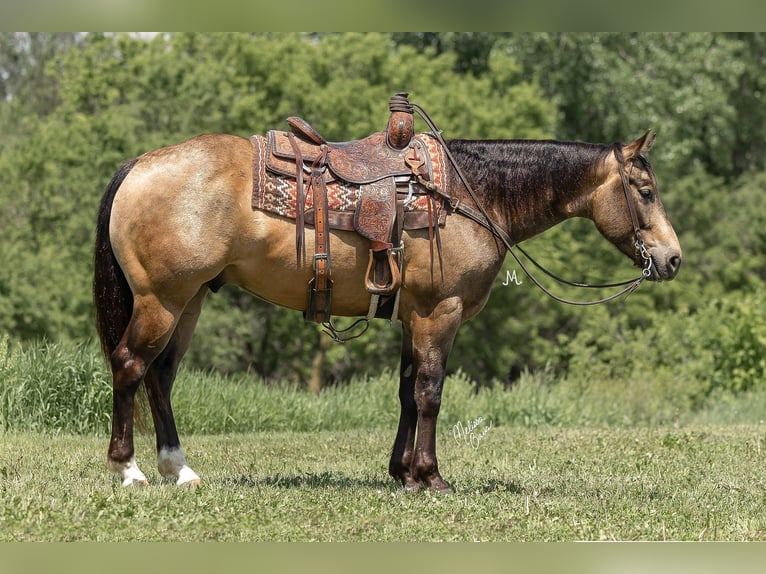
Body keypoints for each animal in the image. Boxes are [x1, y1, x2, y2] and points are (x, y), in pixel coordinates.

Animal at [91, 97, 684, 492]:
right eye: (645, 191)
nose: (673, 258)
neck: (469, 194)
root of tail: (140, 164)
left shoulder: (412, 315)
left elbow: (405, 392)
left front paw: (402, 474)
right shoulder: (440, 312)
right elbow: (430, 392)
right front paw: (431, 477)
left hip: (189, 300)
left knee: (161, 376)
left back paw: (179, 469)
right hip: (162, 300)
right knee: (130, 365)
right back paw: (129, 470)